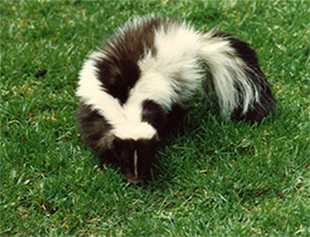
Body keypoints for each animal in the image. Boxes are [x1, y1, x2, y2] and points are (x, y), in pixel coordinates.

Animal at [76, 16, 274, 184]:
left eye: (145, 158)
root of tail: (189, 41)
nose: (136, 180)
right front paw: (105, 158)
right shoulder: (96, 112)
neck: (126, 109)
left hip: (180, 80)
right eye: (124, 160)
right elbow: (95, 136)